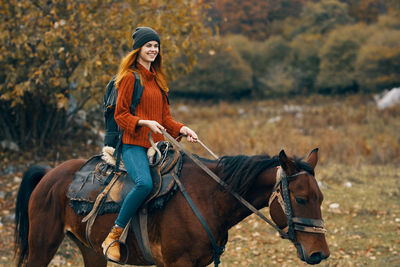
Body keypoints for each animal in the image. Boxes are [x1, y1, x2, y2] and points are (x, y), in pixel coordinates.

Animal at [14, 150, 328, 266]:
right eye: (301, 199)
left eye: (321, 198)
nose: (320, 253)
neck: (208, 199)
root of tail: (49, 175)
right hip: (42, 246)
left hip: (90, 250)